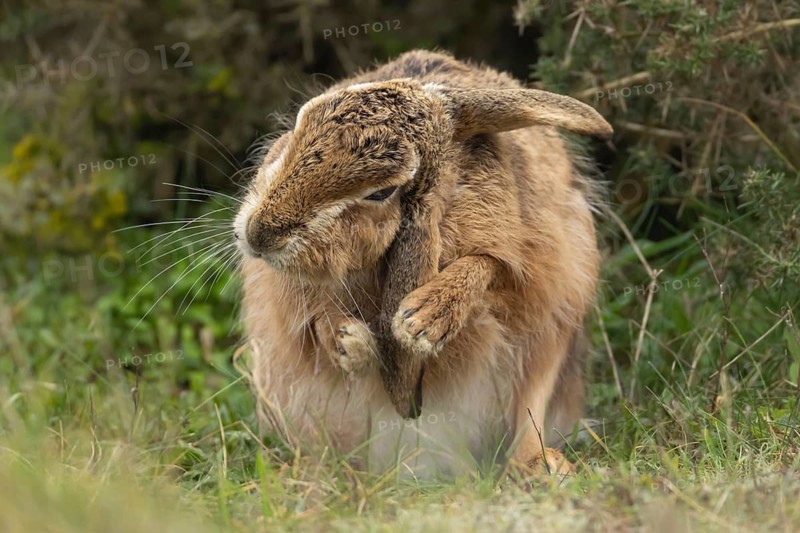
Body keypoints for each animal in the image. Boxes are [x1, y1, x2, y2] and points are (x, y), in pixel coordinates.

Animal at [234, 49, 611, 477]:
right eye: (299, 124)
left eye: (382, 192)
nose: (259, 235)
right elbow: (315, 320)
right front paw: (354, 346)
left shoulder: (530, 259)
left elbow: (488, 264)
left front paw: (422, 321)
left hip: (553, 341)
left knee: (531, 404)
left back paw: (543, 467)